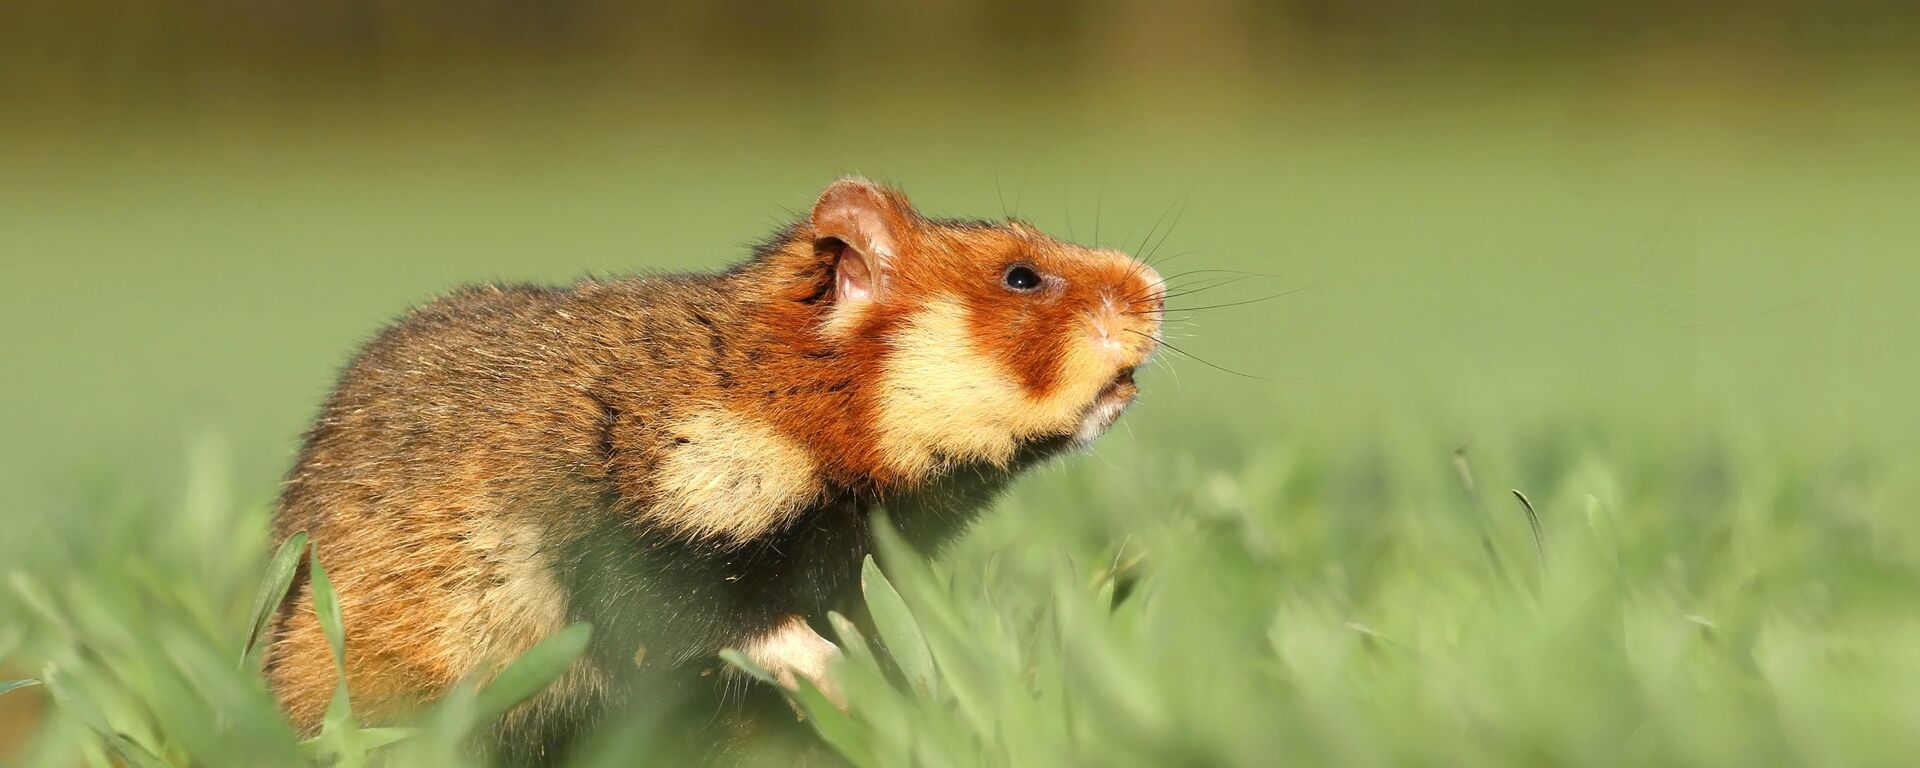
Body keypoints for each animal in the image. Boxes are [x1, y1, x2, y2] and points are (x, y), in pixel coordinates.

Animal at [264, 177, 1164, 758]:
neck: (772, 403)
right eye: (1022, 276)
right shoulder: (645, 547)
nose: (1156, 286)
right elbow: (754, 632)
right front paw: (869, 692)